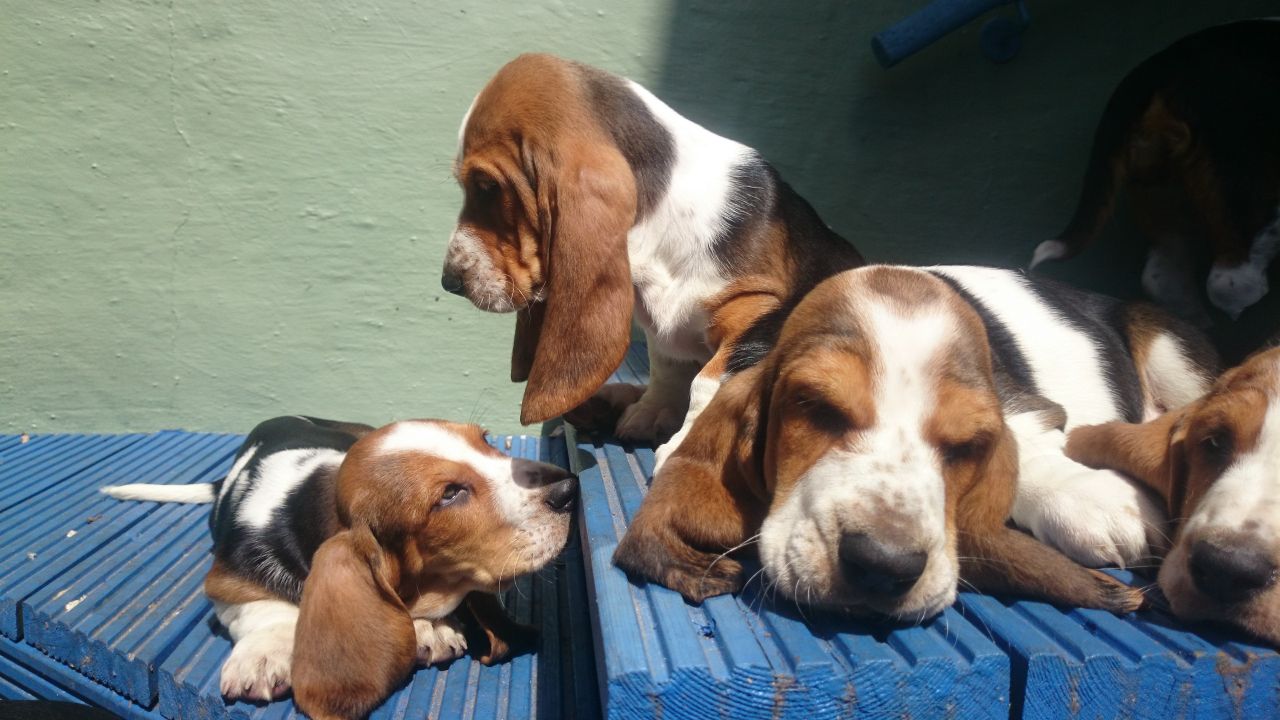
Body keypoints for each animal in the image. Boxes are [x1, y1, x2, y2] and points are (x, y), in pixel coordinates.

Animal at [102, 415, 578, 717]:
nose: (570, 487)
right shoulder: (225, 579)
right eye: (448, 495)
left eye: (485, 441)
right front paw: (264, 653)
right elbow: (263, 606)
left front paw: (429, 625)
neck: (310, 493)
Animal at [437, 54, 860, 448]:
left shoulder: (758, 308)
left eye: (487, 187)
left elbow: (708, 381)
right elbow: (666, 368)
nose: (449, 281)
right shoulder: (660, 336)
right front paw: (652, 412)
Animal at [614, 263, 1213, 617]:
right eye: (813, 409)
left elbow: (1022, 441)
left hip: (1172, 353)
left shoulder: (1022, 404)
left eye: (964, 444)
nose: (883, 565)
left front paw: (1090, 497)